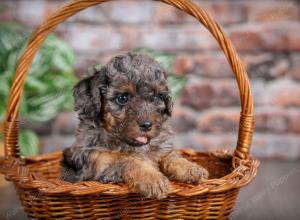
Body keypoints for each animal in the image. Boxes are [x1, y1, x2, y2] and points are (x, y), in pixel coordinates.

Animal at [61, 52, 209, 199]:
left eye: (157, 97)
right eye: (122, 98)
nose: (146, 125)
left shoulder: (161, 147)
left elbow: (170, 156)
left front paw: (191, 169)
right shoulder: (96, 157)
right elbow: (127, 158)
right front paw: (152, 179)